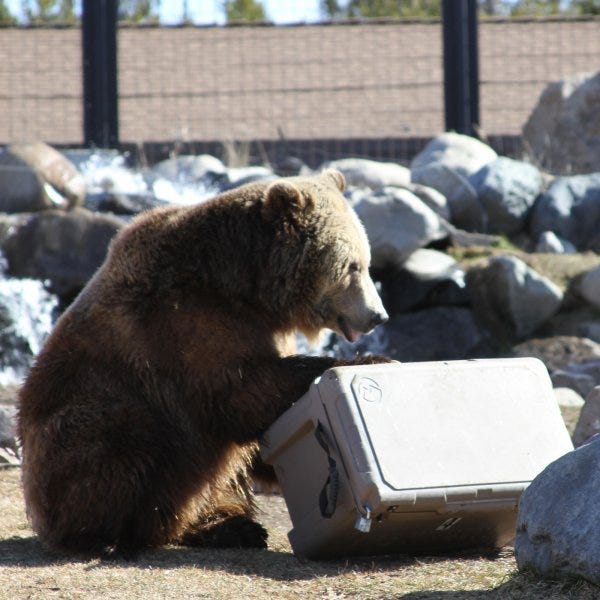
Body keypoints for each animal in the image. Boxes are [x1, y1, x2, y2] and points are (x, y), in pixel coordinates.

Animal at [16, 166, 390, 556]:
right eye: (352, 266)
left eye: (366, 262)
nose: (378, 316)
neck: (247, 288)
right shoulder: (185, 323)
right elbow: (240, 391)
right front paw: (371, 360)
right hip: (75, 429)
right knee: (118, 436)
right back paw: (102, 534)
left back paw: (231, 526)